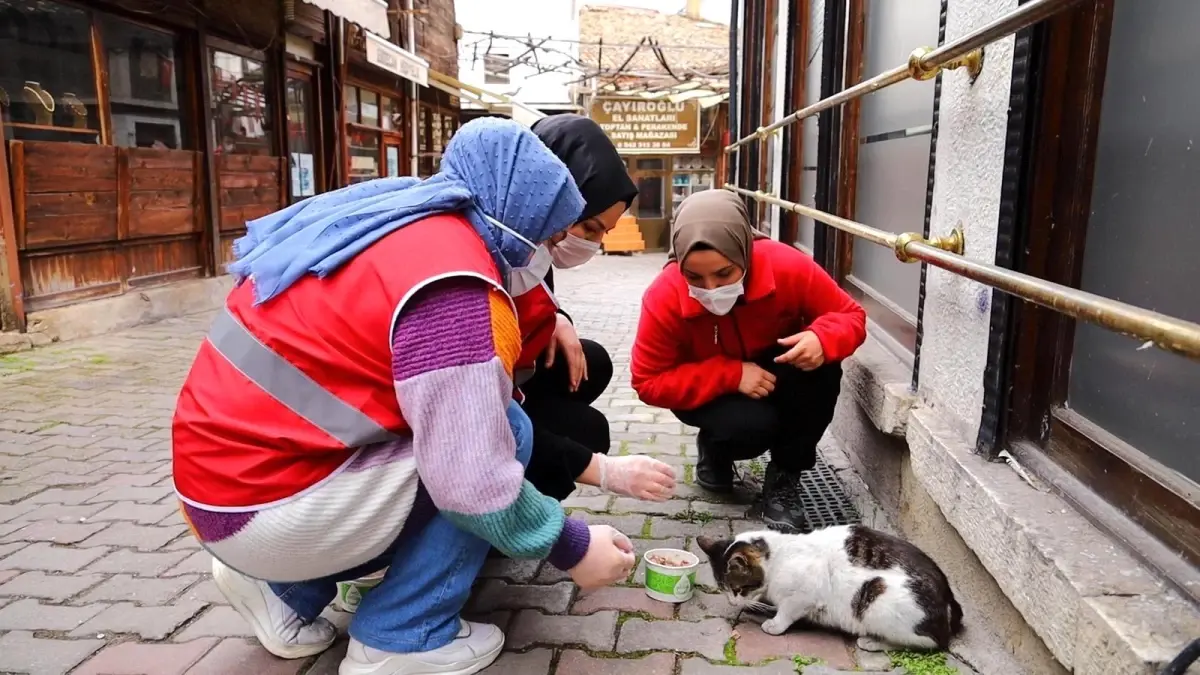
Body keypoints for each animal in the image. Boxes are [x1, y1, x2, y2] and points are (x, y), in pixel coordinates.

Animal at [700, 523, 960, 648]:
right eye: (723, 589)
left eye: (738, 589)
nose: (733, 601)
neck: (778, 559)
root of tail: (948, 596)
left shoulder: (805, 593)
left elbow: (787, 612)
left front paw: (774, 624)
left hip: (876, 596)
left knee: (930, 643)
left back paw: (872, 641)